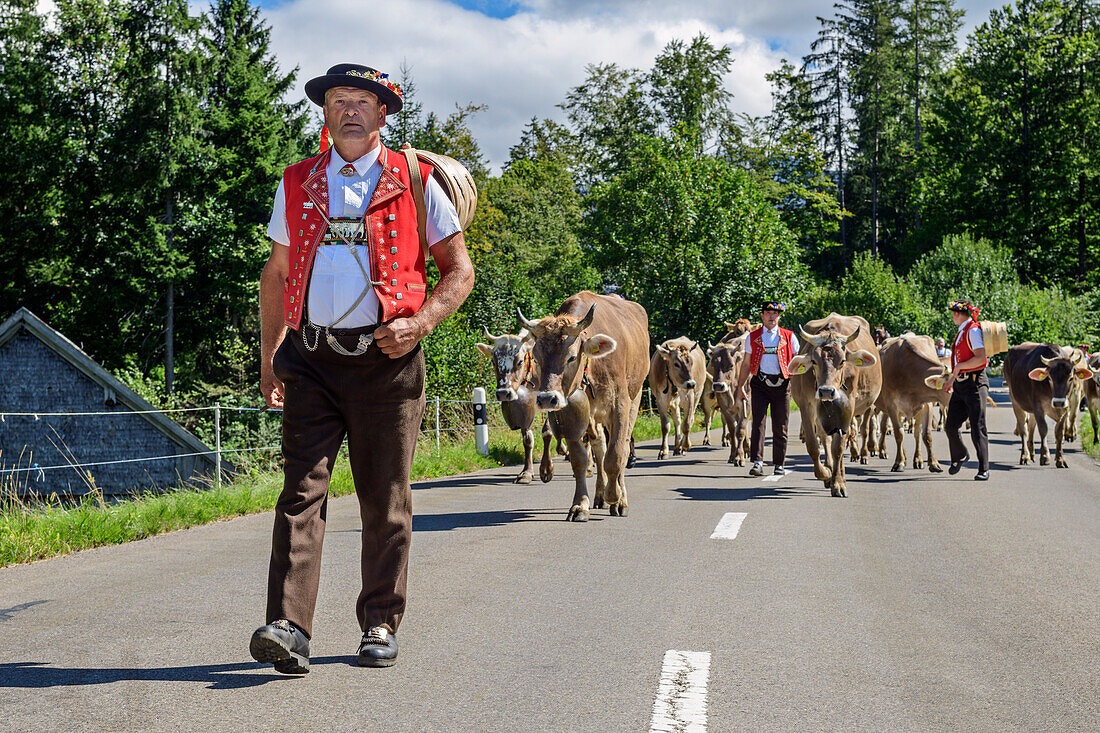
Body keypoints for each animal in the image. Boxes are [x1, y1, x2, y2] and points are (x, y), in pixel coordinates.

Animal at [517, 290, 646, 519]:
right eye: (537, 359)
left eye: (571, 357)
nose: (546, 398)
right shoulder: (570, 413)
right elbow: (580, 460)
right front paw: (581, 504)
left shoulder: (620, 405)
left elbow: (616, 455)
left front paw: (615, 496)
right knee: (599, 447)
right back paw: (600, 495)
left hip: (635, 396)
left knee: (619, 448)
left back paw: (618, 498)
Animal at [787, 310, 880, 493]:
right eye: (814, 361)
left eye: (842, 361)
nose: (826, 391)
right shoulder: (807, 406)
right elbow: (814, 445)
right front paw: (825, 473)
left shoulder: (848, 408)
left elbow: (838, 447)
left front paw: (838, 483)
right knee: (826, 439)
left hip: (866, 407)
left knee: (857, 432)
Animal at [871, 334, 950, 471]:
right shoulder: (892, 406)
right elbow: (899, 434)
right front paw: (899, 462)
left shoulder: (927, 404)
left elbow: (926, 435)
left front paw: (933, 463)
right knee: (882, 427)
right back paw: (882, 451)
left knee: (914, 432)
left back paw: (916, 459)